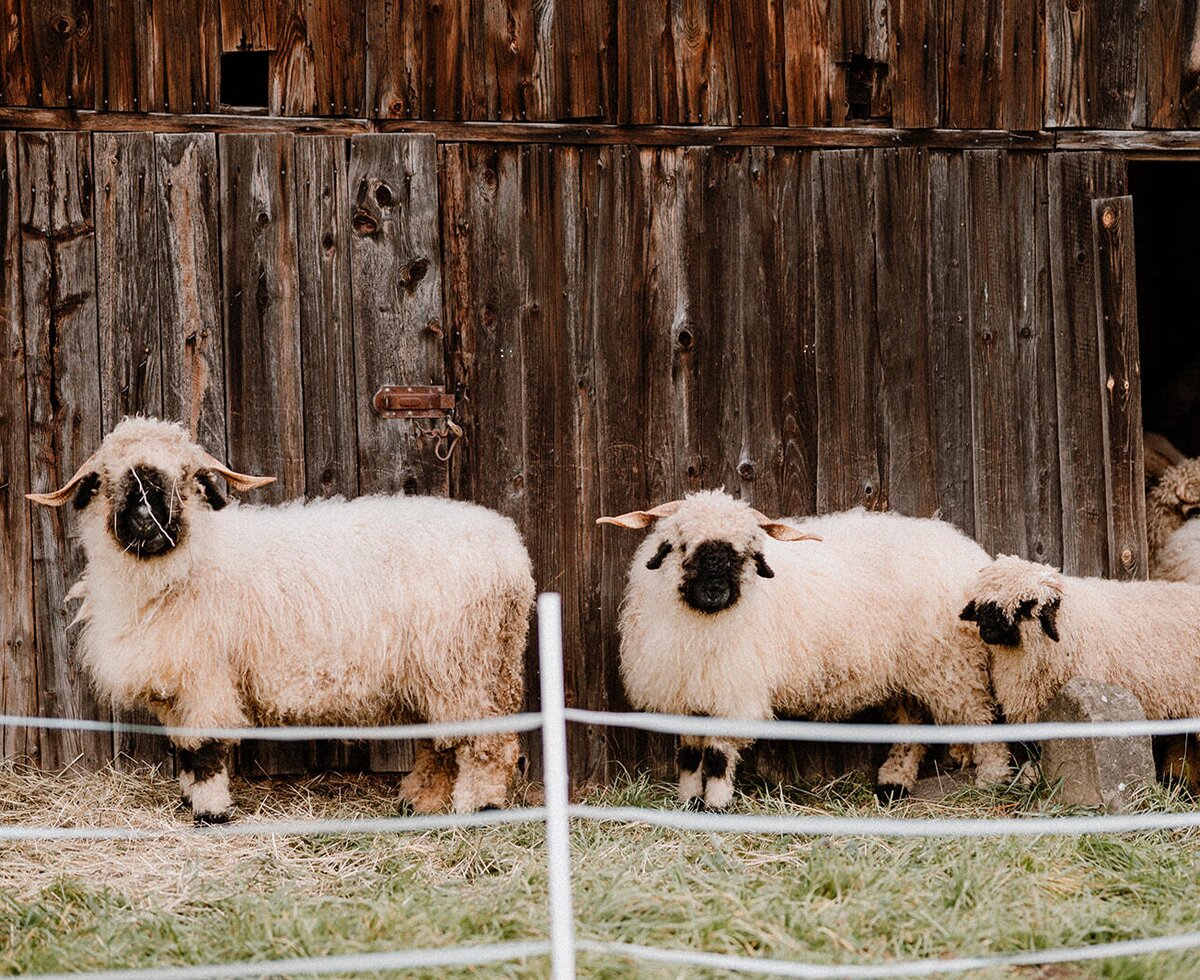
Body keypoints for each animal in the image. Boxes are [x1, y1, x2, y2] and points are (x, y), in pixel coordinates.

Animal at [28, 417, 535, 823]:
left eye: (187, 475)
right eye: (108, 476)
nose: (147, 511)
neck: (189, 563)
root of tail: (512, 553)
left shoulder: (207, 676)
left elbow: (205, 750)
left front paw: (211, 813)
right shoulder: (177, 685)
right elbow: (186, 750)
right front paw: (189, 801)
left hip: (462, 664)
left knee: (488, 741)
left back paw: (477, 807)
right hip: (444, 671)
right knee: (441, 741)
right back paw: (420, 801)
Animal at [598, 490, 1010, 809]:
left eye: (744, 553)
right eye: (685, 544)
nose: (716, 591)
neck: (701, 622)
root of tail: (965, 550)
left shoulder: (733, 692)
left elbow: (715, 756)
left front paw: (714, 806)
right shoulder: (687, 693)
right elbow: (688, 756)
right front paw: (688, 802)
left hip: (951, 665)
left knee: (980, 719)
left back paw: (992, 778)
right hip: (901, 671)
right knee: (912, 728)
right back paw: (893, 785)